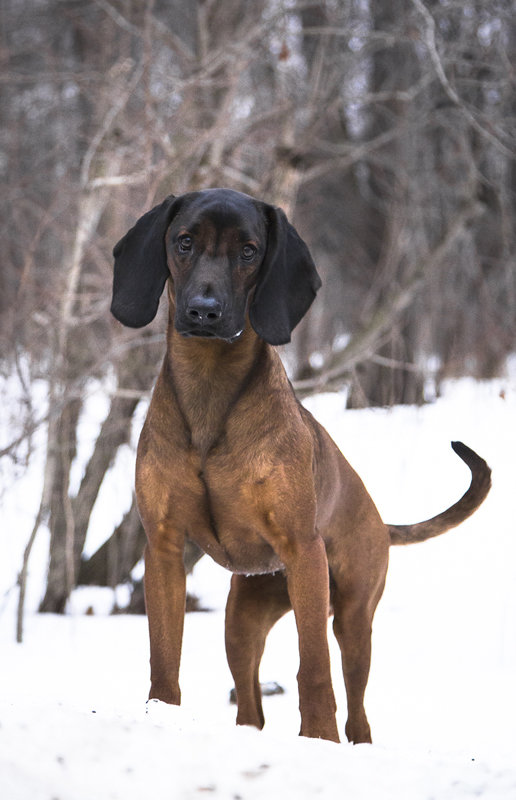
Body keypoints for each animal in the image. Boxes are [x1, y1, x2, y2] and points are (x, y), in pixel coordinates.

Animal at [111, 188, 490, 744]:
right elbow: (164, 657)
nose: (204, 311)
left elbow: (313, 670)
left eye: (249, 251)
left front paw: (319, 739)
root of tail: (380, 520)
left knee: (355, 705)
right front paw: (161, 714)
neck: (209, 388)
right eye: (183, 242)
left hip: (351, 616)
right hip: (241, 619)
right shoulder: (162, 546)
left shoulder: (303, 550)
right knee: (250, 704)